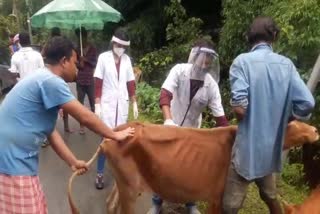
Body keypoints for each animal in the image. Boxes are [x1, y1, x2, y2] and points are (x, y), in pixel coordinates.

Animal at [69, 120, 318, 214]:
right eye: (290, 122)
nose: (315, 129)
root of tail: (114, 133)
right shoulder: (218, 197)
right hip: (129, 187)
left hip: (127, 182)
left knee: (111, 204)